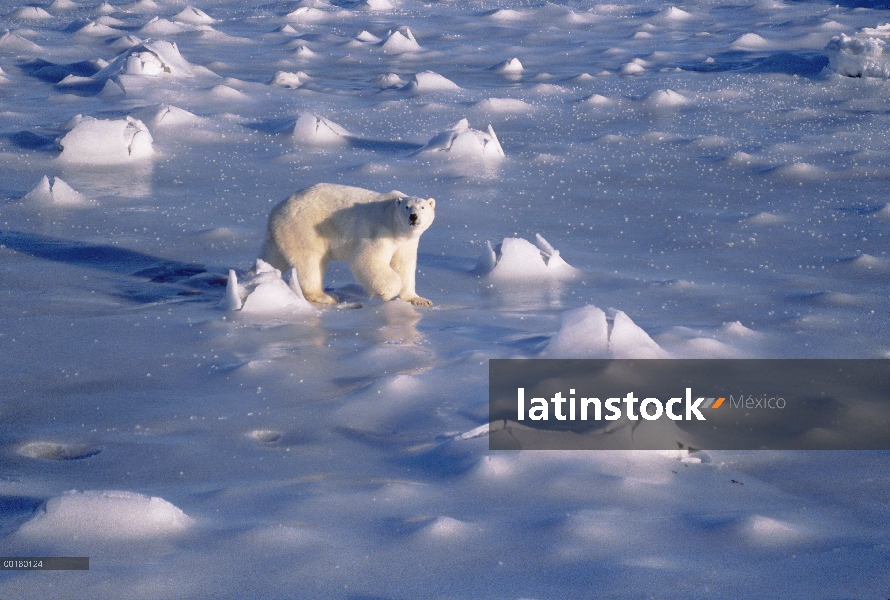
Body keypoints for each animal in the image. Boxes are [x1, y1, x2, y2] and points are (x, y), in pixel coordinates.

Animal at [258, 182, 436, 304]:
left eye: (422, 207)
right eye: (407, 207)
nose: (413, 217)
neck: (393, 221)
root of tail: (275, 212)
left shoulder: (407, 242)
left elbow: (404, 265)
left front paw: (419, 300)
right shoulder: (380, 231)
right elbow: (367, 259)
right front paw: (386, 293)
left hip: (284, 234)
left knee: (274, 256)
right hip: (304, 227)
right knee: (310, 261)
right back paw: (325, 296)